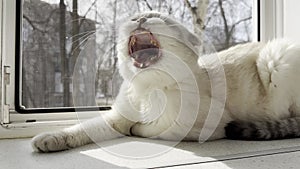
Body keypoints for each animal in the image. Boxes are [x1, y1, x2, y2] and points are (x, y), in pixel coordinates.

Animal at [31, 11, 300, 152]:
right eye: (135, 16)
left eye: (153, 16)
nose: (139, 17)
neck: (147, 90)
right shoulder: (116, 118)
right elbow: (82, 128)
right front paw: (48, 140)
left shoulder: (201, 126)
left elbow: (151, 129)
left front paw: (137, 129)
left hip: (275, 58)